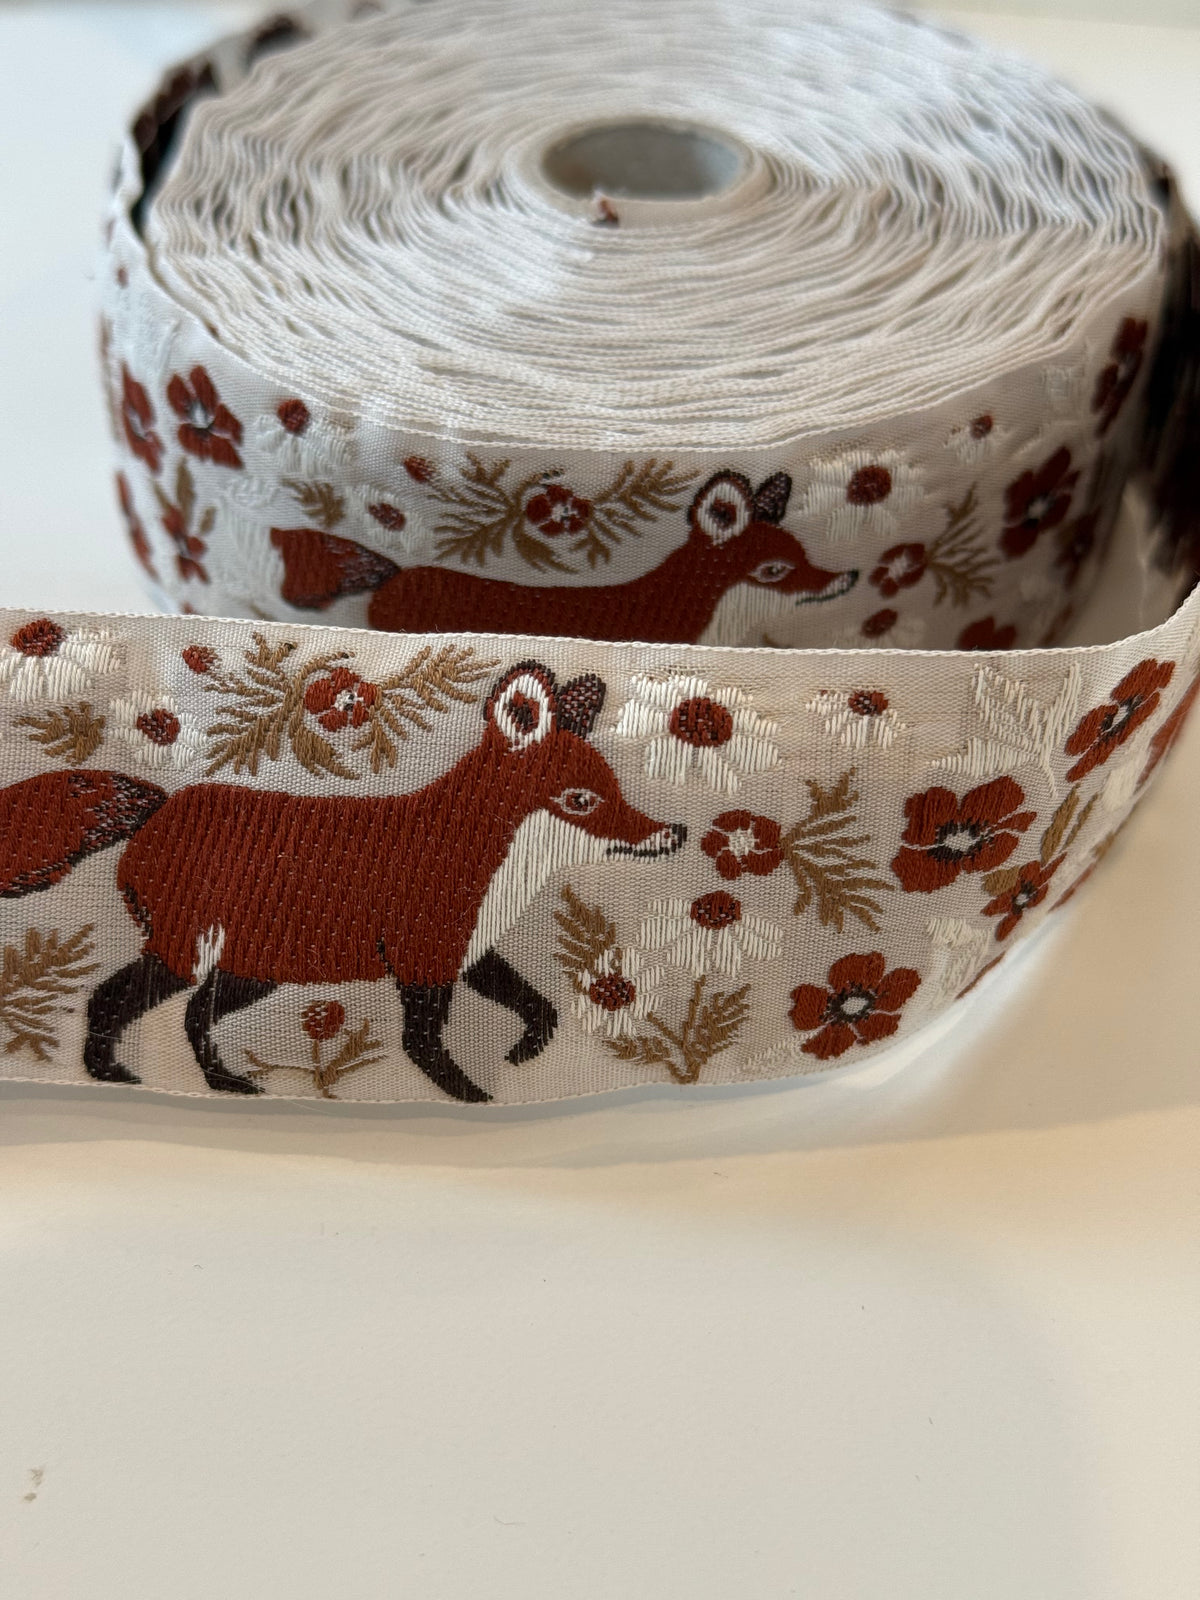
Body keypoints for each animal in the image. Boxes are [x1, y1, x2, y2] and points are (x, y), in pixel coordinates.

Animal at [0, 663, 685, 1103]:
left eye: (619, 791)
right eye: (582, 800)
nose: (674, 832)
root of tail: (165, 804)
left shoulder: (467, 950)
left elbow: (539, 1007)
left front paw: (522, 1056)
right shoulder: (424, 957)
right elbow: (419, 1045)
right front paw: (472, 1095)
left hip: (255, 966)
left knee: (195, 1016)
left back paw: (223, 1083)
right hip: (188, 951)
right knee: (109, 999)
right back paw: (111, 1074)